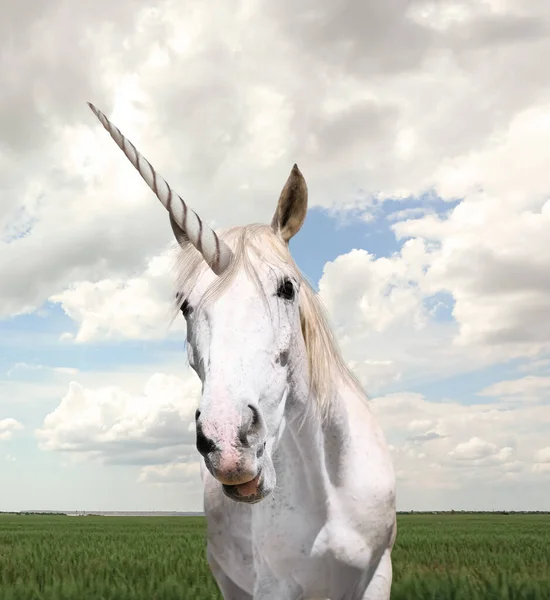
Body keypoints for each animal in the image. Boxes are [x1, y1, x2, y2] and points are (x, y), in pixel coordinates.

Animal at [89, 101, 396, 596]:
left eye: (287, 288)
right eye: (185, 305)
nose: (228, 442)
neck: (329, 493)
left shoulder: (378, 575)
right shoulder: (272, 586)